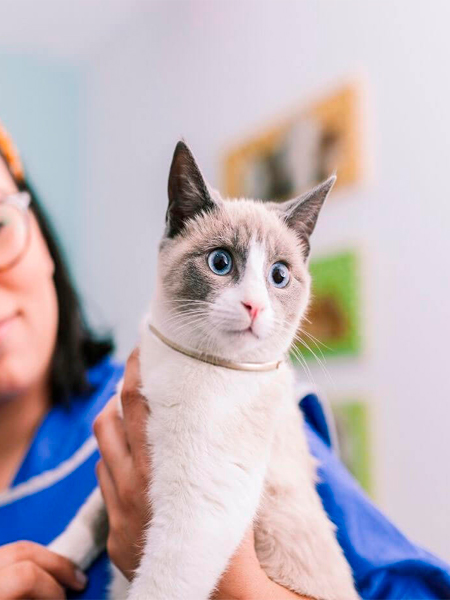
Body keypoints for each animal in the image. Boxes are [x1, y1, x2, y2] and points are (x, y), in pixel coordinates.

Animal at [49, 142, 358, 600]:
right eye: (220, 262)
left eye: (279, 275)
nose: (254, 306)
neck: (190, 361)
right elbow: (88, 517)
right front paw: (50, 564)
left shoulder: (198, 510)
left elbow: (156, 585)